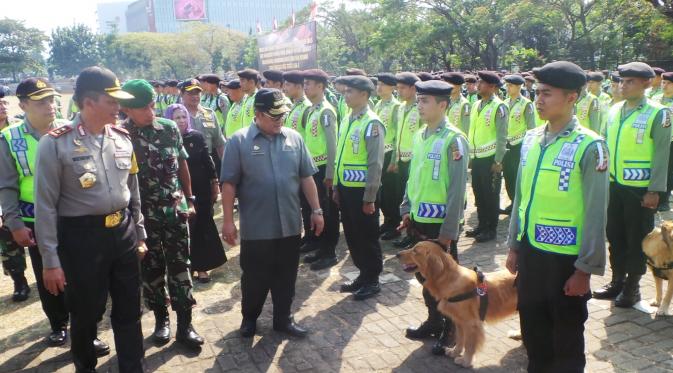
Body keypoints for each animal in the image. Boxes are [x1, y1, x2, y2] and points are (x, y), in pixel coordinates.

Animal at [396, 240, 516, 368]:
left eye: (415, 251)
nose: (397, 254)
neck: (449, 278)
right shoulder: (459, 321)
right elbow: (459, 339)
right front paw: (454, 352)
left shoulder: (471, 323)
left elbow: (469, 345)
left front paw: (466, 361)